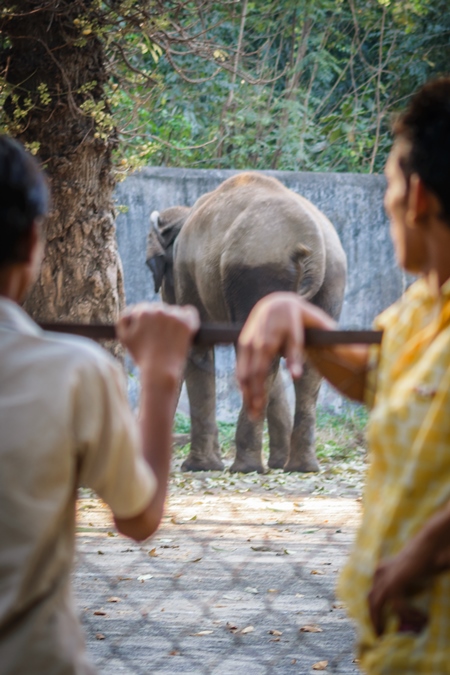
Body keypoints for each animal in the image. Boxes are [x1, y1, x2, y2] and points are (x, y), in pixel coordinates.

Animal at [146, 172, 346, 472]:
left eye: (150, 267)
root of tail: (313, 248)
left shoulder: (188, 274)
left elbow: (200, 349)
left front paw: (200, 467)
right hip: (330, 282)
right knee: (306, 364)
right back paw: (299, 467)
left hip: (258, 272)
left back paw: (245, 467)